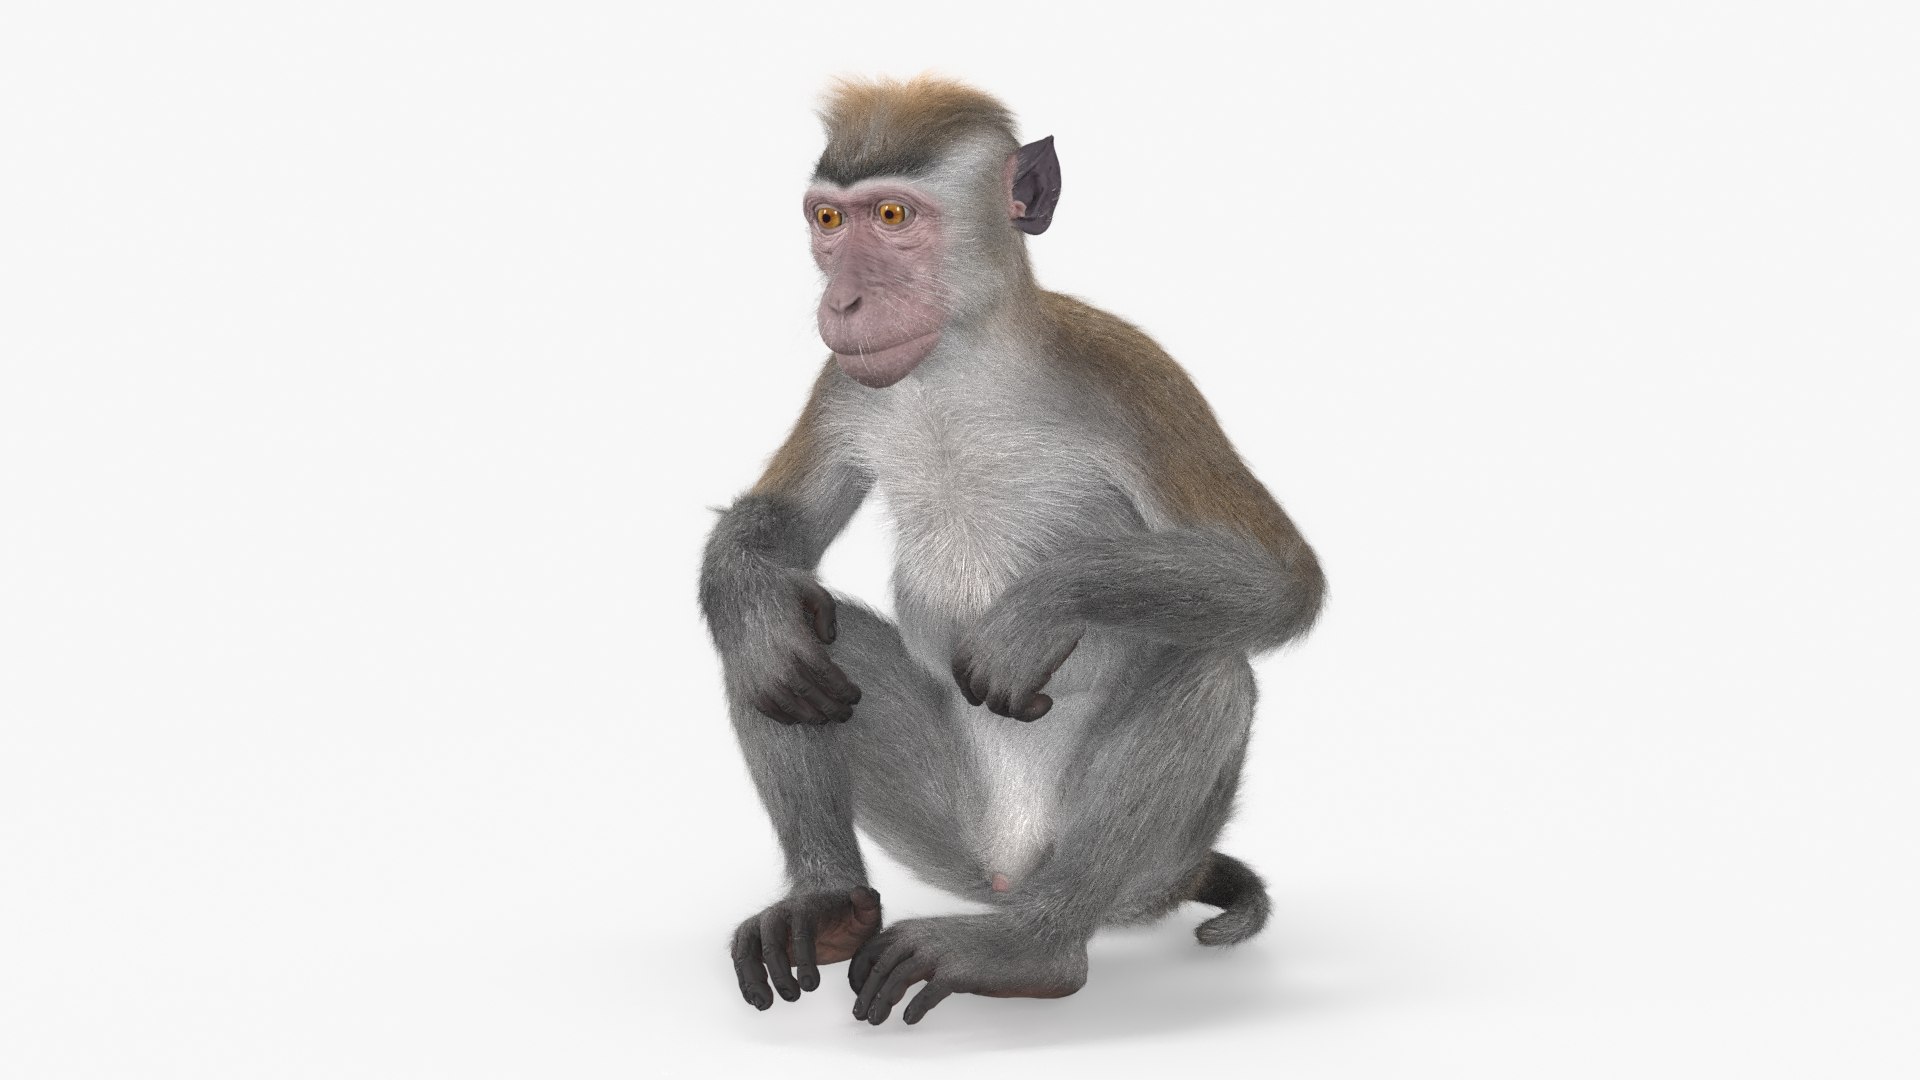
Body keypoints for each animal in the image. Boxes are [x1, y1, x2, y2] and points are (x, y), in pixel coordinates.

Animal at [698, 75, 1325, 1027]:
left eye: (893, 215)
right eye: (829, 220)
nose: (842, 303)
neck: (961, 363)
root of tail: (1004, 875)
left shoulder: (1128, 371)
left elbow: (1282, 576)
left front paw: (1038, 612)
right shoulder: (844, 381)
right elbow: (784, 529)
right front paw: (751, 598)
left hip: (1139, 863)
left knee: (1210, 668)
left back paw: (1035, 947)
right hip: (946, 830)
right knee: (789, 637)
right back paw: (828, 899)